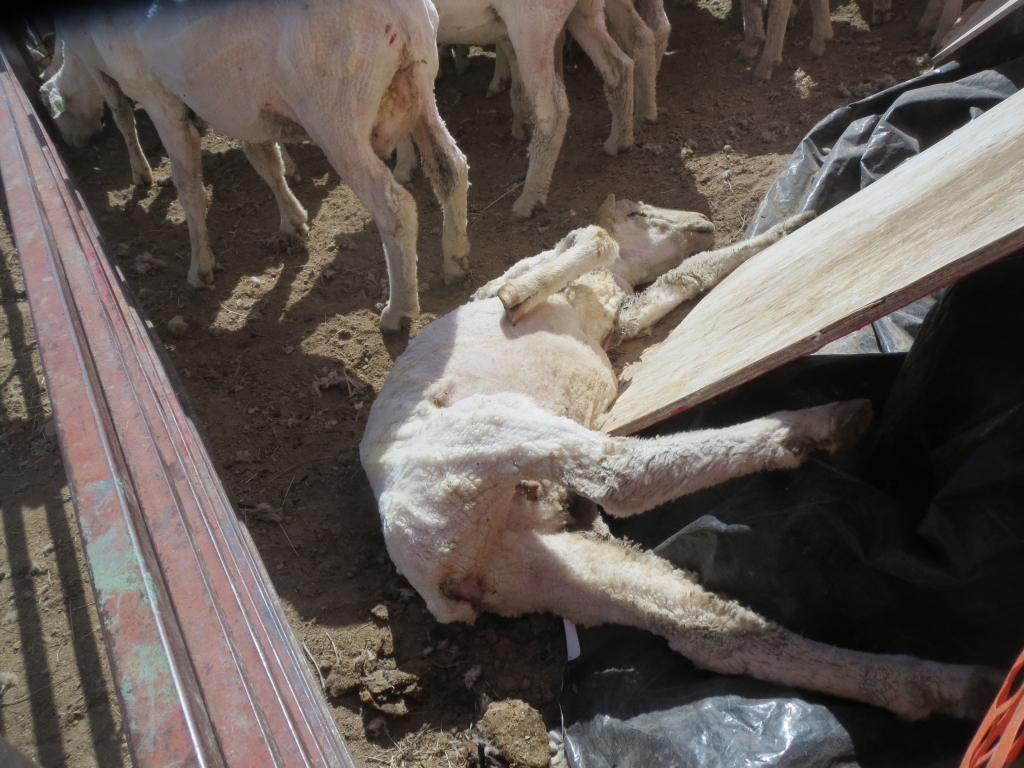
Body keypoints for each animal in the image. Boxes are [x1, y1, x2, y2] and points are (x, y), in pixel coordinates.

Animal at [40, 0, 471, 331]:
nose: (74, 145)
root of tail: (400, 14)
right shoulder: (244, 107)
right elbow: (266, 163)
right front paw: (292, 222)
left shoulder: (158, 99)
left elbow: (187, 187)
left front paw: (200, 267)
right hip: (418, 85)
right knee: (452, 169)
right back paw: (455, 260)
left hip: (335, 116)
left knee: (394, 210)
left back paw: (398, 311)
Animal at [364, 193, 1003, 720]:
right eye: (639, 211)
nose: (702, 222)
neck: (601, 290)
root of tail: (441, 587)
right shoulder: (517, 280)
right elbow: (583, 247)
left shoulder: (622, 316)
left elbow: (685, 275)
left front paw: (790, 224)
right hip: (481, 437)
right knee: (620, 473)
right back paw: (817, 424)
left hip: (531, 569)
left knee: (713, 629)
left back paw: (951, 685)